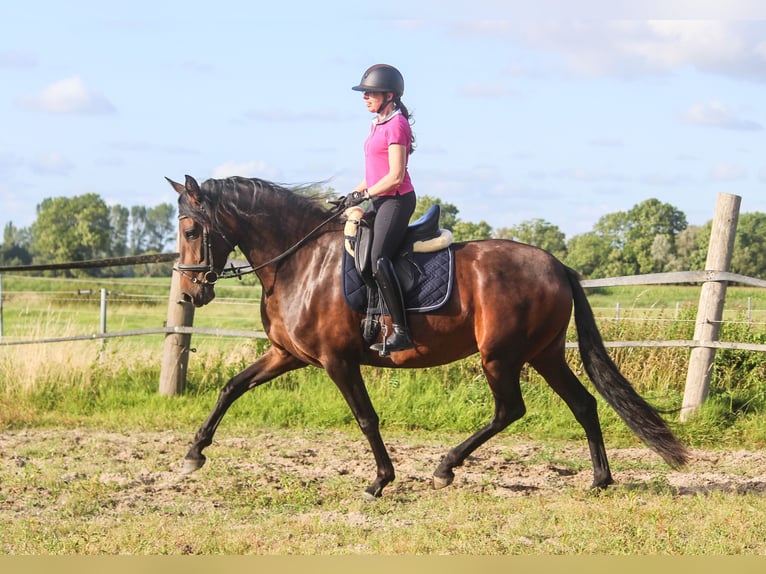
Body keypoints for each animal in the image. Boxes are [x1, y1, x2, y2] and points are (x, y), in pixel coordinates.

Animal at [166, 174, 688, 500]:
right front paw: (193, 455)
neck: (299, 262)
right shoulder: (286, 355)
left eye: (191, 230)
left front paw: (380, 481)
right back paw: (600, 480)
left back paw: (445, 468)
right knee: (582, 404)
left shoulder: (337, 361)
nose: (190, 293)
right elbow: (231, 387)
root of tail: (557, 265)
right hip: (544, 353)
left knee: (510, 410)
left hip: (501, 356)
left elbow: (366, 419)